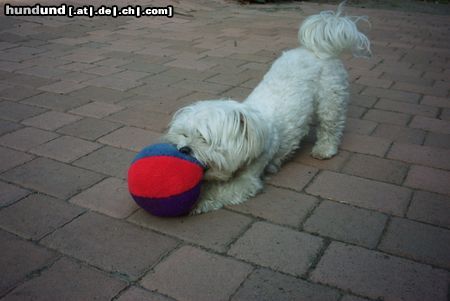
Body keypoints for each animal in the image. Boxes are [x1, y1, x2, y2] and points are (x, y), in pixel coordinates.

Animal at [163, 3, 370, 212]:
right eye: (184, 135)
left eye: (205, 139)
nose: (184, 150)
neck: (252, 127)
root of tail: (317, 50)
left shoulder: (248, 179)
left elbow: (223, 191)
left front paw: (198, 200)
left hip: (331, 98)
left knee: (331, 125)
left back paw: (325, 149)